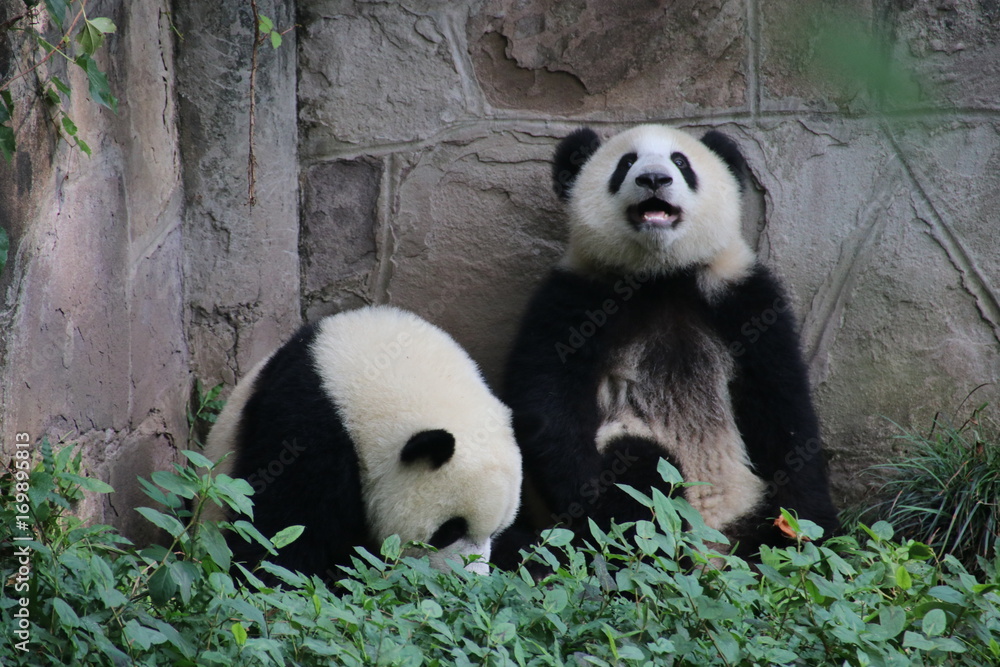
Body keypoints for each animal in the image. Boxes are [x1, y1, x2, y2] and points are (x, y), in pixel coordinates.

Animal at [501, 124, 839, 560]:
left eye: (681, 162)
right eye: (626, 162)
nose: (654, 179)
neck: (660, 275)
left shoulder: (742, 297)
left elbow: (783, 410)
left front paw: (808, 533)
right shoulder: (573, 300)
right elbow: (547, 405)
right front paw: (589, 509)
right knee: (638, 466)